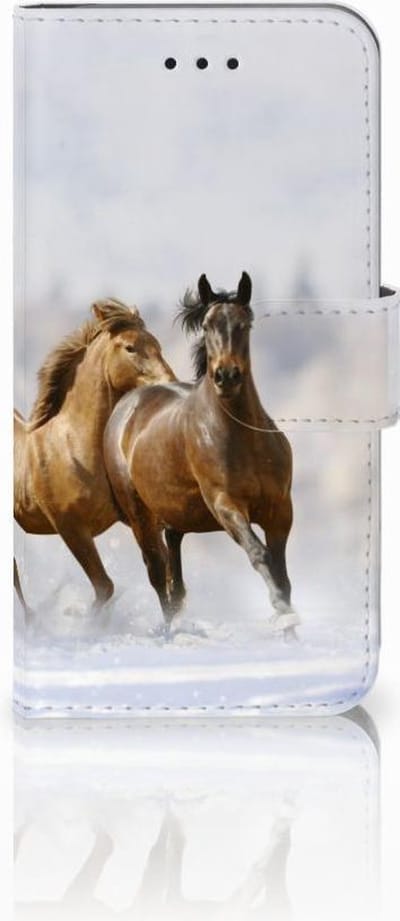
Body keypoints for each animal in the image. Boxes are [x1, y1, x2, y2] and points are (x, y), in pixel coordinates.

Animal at [14, 298, 175, 612]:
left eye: (157, 344)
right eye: (130, 347)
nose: (169, 382)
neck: (73, 447)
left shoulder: (137, 518)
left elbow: (162, 573)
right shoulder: (71, 528)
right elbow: (105, 587)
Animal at [104, 273, 299, 631]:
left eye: (245, 324)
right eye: (207, 326)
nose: (226, 376)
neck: (243, 438)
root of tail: (127, 404)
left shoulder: (280, 510)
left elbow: (282, 573)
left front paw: (289, 626)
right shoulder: (225, 505)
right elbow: (259, 554)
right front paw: (281, 611)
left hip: (174, 513)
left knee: (174, 568)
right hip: (140, 516)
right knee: (157, 573)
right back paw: (169, 630)